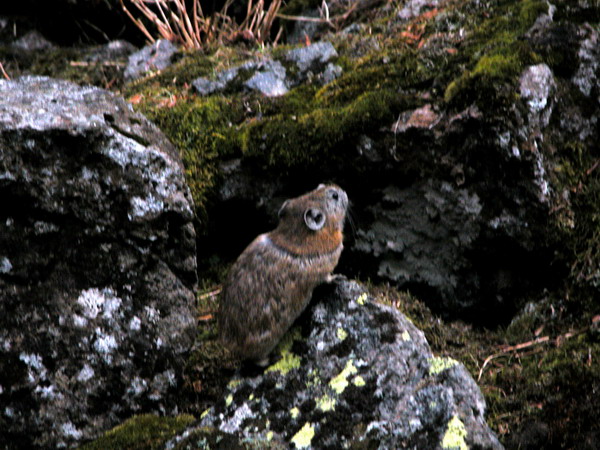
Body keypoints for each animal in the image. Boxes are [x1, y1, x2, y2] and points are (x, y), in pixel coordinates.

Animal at [218, 184, 349, 366]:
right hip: (266, 339)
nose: (343, 191)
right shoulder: (322, 271)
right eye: (335, 196)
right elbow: (327, 277)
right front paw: (339, 277)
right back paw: (274, 358)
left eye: (319, 187)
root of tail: (229, 345)